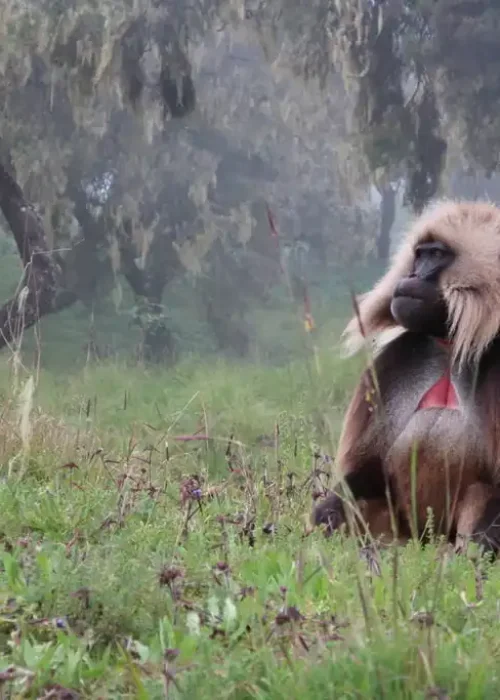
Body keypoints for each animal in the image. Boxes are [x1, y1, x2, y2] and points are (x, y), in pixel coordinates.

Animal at [312, 200, 500, 555]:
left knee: (481, 493)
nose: (410, 276)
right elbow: (367, 467)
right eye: (419, 254)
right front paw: (327, 514)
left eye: (437, 255)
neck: (449, 345)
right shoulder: (394, 363)